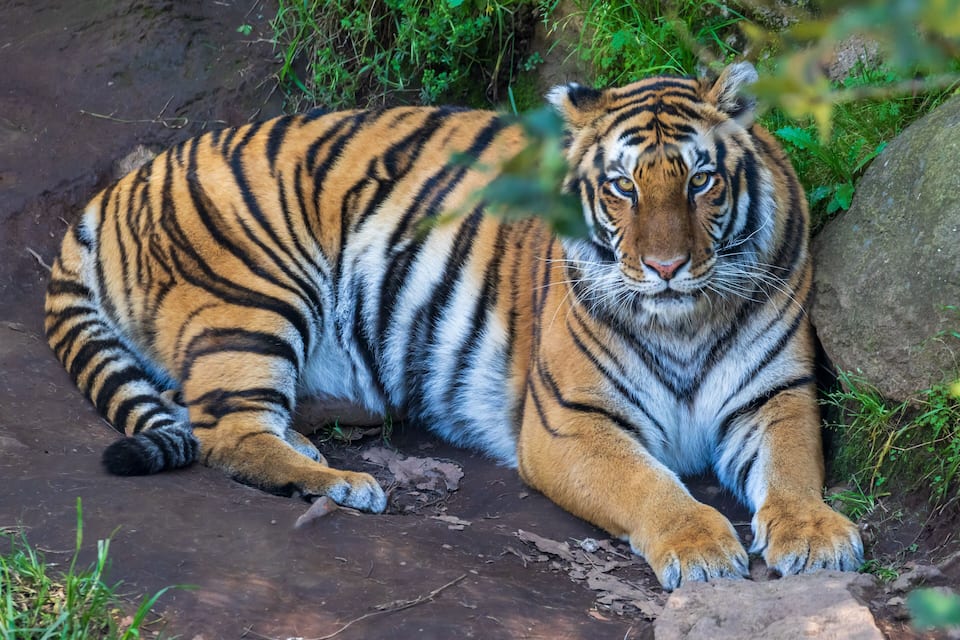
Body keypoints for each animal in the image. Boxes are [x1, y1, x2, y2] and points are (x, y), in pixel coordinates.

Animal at [44, 62, 863, 590]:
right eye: (623, 187)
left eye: (700, 181)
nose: (665, 267)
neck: (683, 321)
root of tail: (123, 184)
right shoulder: (570, 423)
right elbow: (648, 485)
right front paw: (699, 547)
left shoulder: (776, 395)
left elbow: (793, 469)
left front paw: (816, 536)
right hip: (257, 295)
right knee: (228, 434)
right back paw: (344, 483)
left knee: (211, 412)